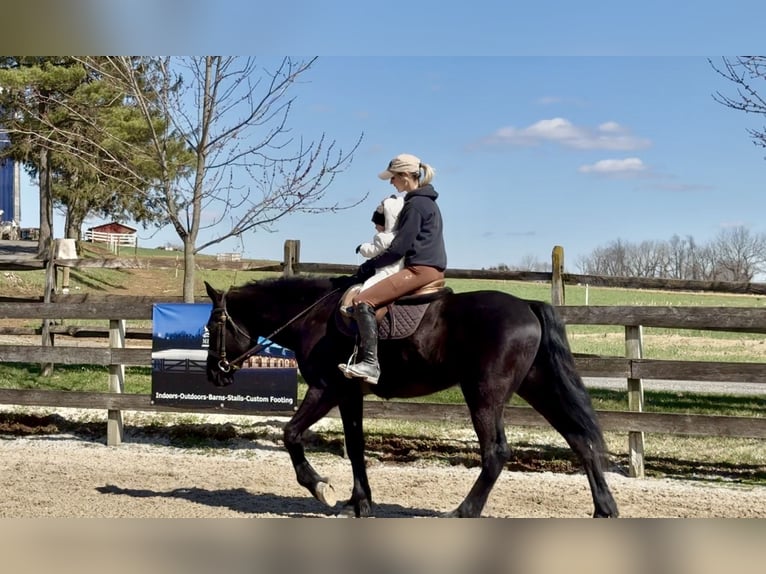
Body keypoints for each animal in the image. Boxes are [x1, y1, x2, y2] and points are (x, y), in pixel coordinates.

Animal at [203, 276, 619, 518]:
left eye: (211, 326)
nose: (214, 374)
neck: (313, 317)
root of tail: (526, 306)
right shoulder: (349, 394)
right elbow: (355, 446)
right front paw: (359, 502)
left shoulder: (326, 388)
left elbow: (290, 434)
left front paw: (321, 488)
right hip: (537, 385)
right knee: (579, 440)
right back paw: (605, 509)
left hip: (485, 394)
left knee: (497, 452)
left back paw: (463, 512)